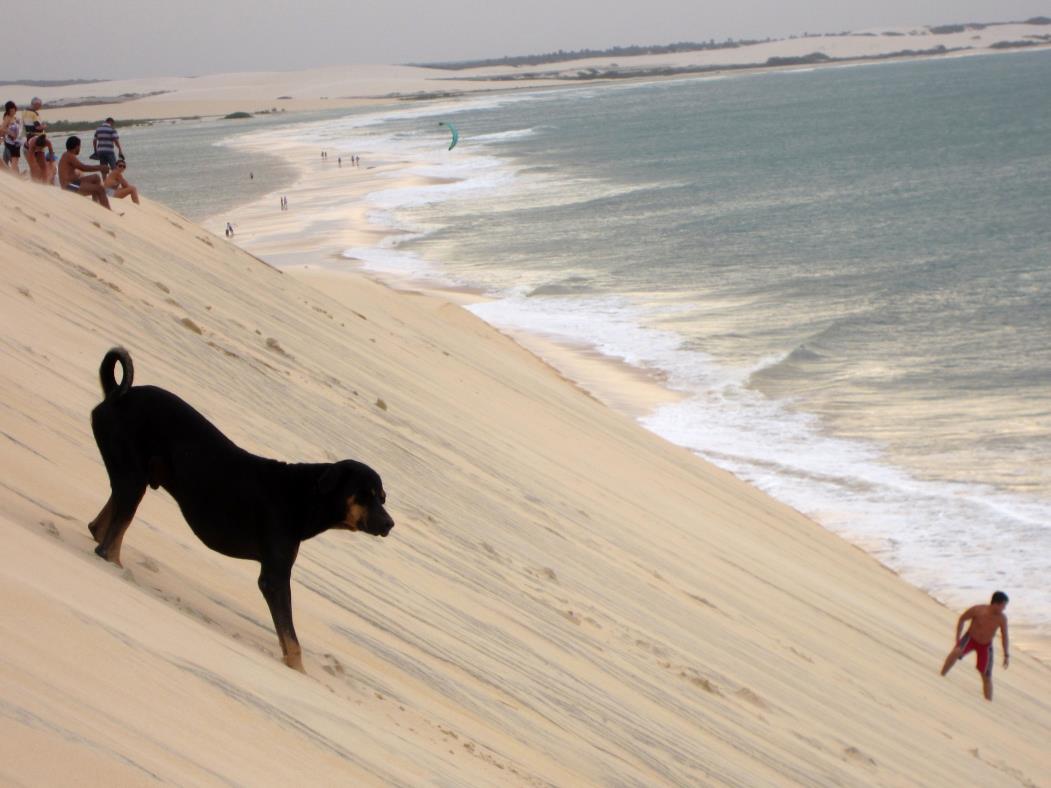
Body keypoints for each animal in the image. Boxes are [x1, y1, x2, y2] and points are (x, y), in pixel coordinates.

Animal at [88, 346, 393, 672]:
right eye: (365, 495)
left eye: (382, 497)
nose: (390, 524)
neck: (304, 498)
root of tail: (116, 395)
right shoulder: (274, 578)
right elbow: (293, 643)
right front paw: (298, 672)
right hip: (132, 478)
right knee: (108, 542)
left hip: (136, 477)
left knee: (100, 526)